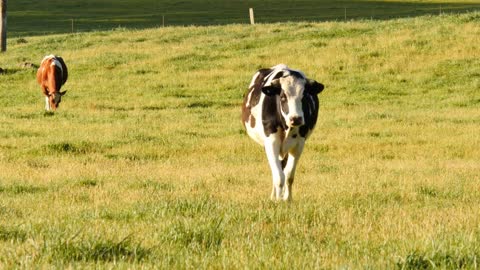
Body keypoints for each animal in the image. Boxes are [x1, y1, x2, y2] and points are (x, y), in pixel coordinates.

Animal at [242, 65, 324, 200]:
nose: (296, 118)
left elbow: (289, 175)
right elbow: (279, 176)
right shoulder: (271, 142)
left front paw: (287, 199)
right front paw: (277, 200)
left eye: (304, 97)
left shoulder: (299, 144)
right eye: (283, 97)